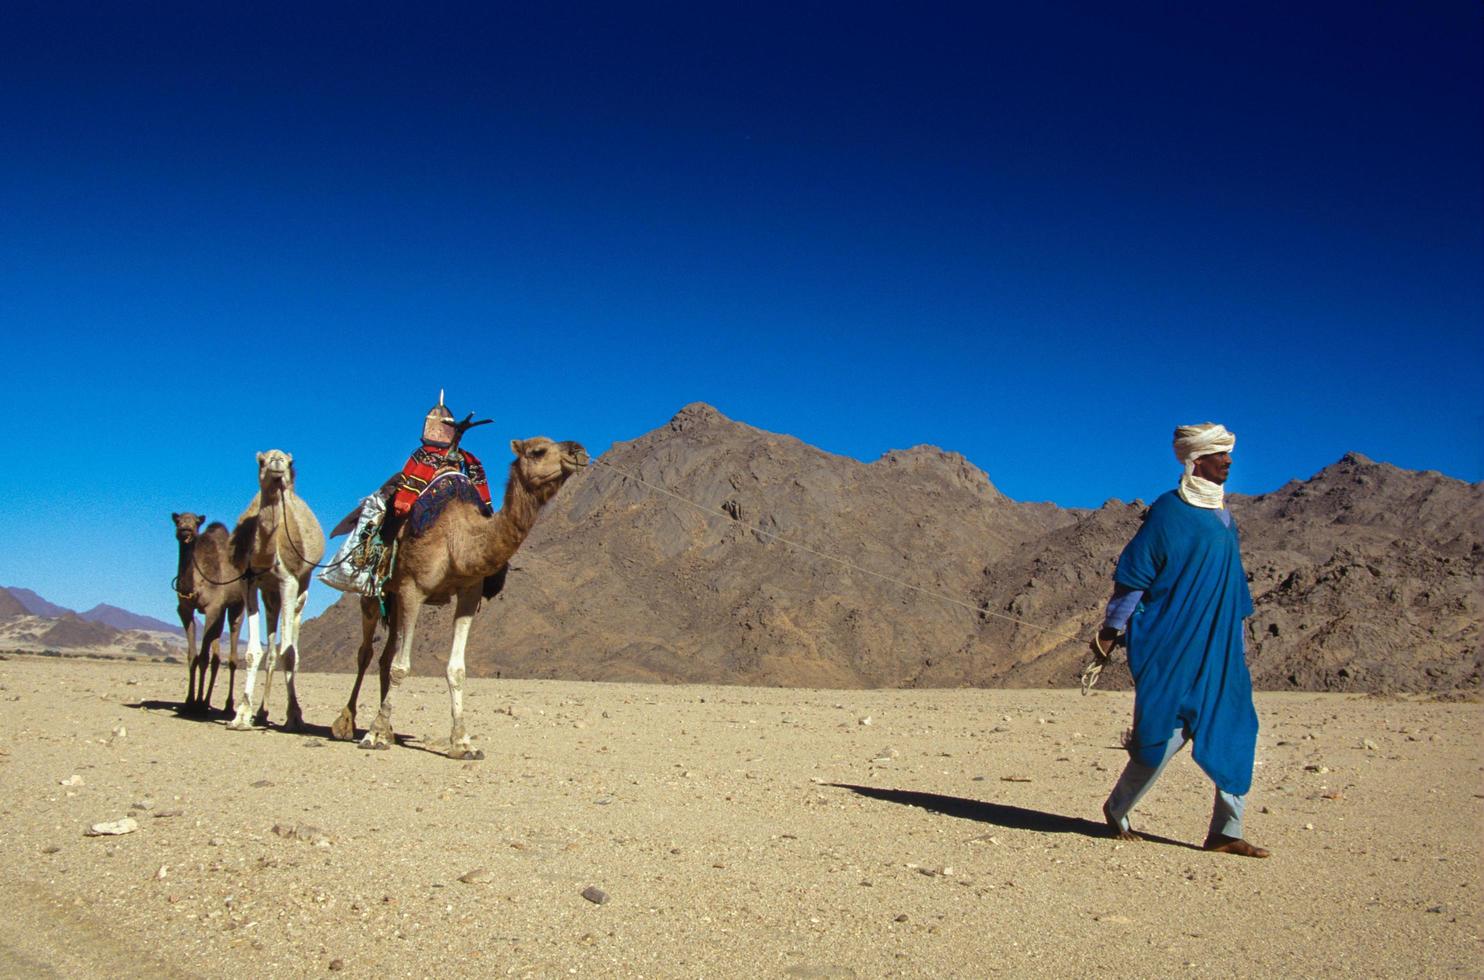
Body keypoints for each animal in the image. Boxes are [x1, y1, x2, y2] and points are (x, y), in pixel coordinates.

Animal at [172, 513, 247, 712]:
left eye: (196, 522)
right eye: (177, 520)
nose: (185, 530)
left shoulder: (212, 607)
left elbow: (204, 658)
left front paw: (197, 705)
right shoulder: (185, 609)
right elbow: (193, 656)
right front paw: (189, 701)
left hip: (237, 606)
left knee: (232, 657)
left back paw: (228, 705)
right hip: (220, 613)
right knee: (216, 656)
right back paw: (206, 701)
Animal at [225, 448, 324, 730]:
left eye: (290, 462)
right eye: (261, 461)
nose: (278, 462)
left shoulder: (288, 581)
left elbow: (288, 654)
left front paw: (294, 716)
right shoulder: (248, 582)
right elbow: (253, 653)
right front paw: (242, 715)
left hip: (302, 586)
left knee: (292, 645)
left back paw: (292, 714)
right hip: (269, 596)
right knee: (270, 650)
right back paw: (261, 713)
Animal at [333, 436, 587, 757]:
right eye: (538, 451)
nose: (579, 452)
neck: (459, 540)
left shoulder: (469, 592)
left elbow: (456, 670)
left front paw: (462, 743)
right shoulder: (413, 588)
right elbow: (401, 668)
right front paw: (373, 734)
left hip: (393, 599)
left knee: (384, 656)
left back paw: (389, 730)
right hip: (373, 592)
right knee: (366, 653)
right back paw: (346, 724)